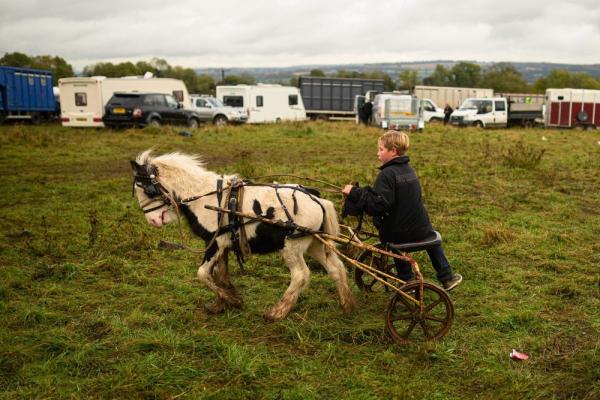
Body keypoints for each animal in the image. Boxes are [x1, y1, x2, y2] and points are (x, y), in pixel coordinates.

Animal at [130, 150, 356, 322]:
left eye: (146, 190)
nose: (153, 221)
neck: (206, 197)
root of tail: (317, 199)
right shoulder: (223, 244)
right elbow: (220, 275)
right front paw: (221, 303)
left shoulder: (214, 243)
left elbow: (203, 274)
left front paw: (233, 300)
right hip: (314, 244)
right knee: (336, 269)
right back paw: (347, 306)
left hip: (292, 247)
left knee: (301, 275)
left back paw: (277, 312)